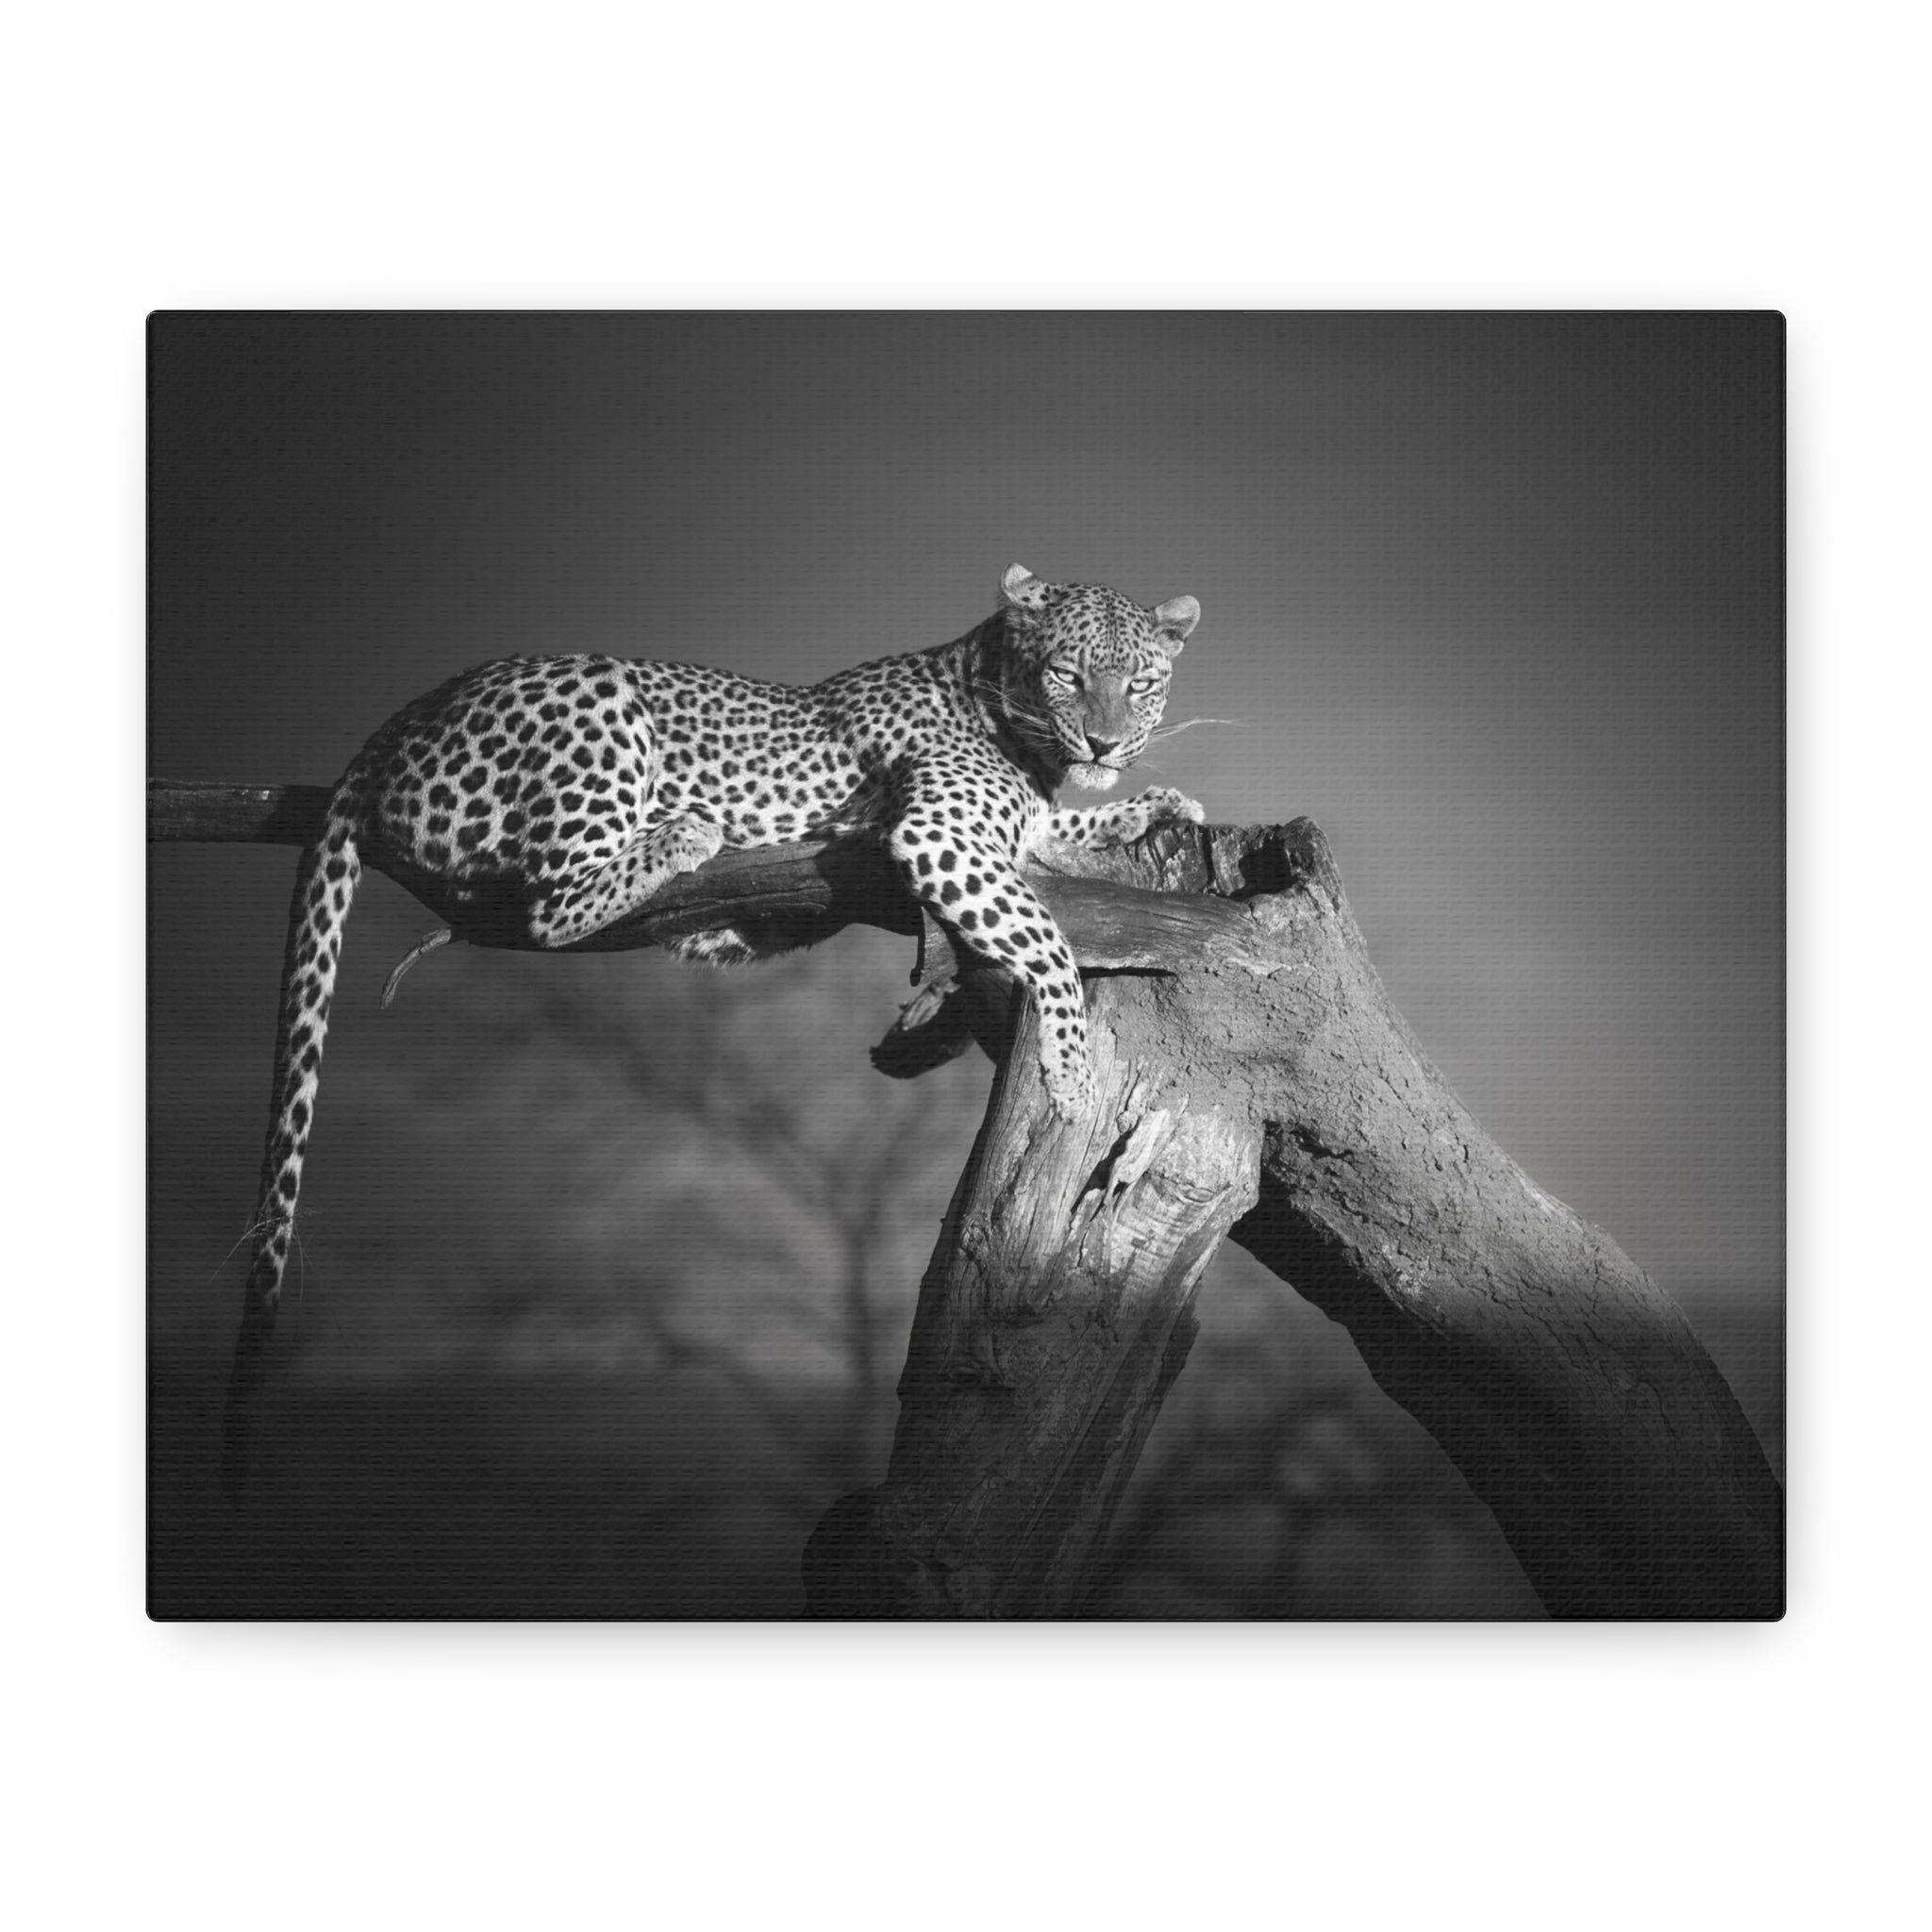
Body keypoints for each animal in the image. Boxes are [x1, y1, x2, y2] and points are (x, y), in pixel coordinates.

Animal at [221, 562, 1203, 1502]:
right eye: (1069, 674)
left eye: (1141, 683)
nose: (1106, 743)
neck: (1010, 715)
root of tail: (401, 719)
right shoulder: (941, 833)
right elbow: (1049, 938)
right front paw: (1071, 1073)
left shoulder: (1010, 832)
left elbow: (1055, 844)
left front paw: (1151, 807)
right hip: (598, 706)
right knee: (549, 903)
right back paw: (685, 831)